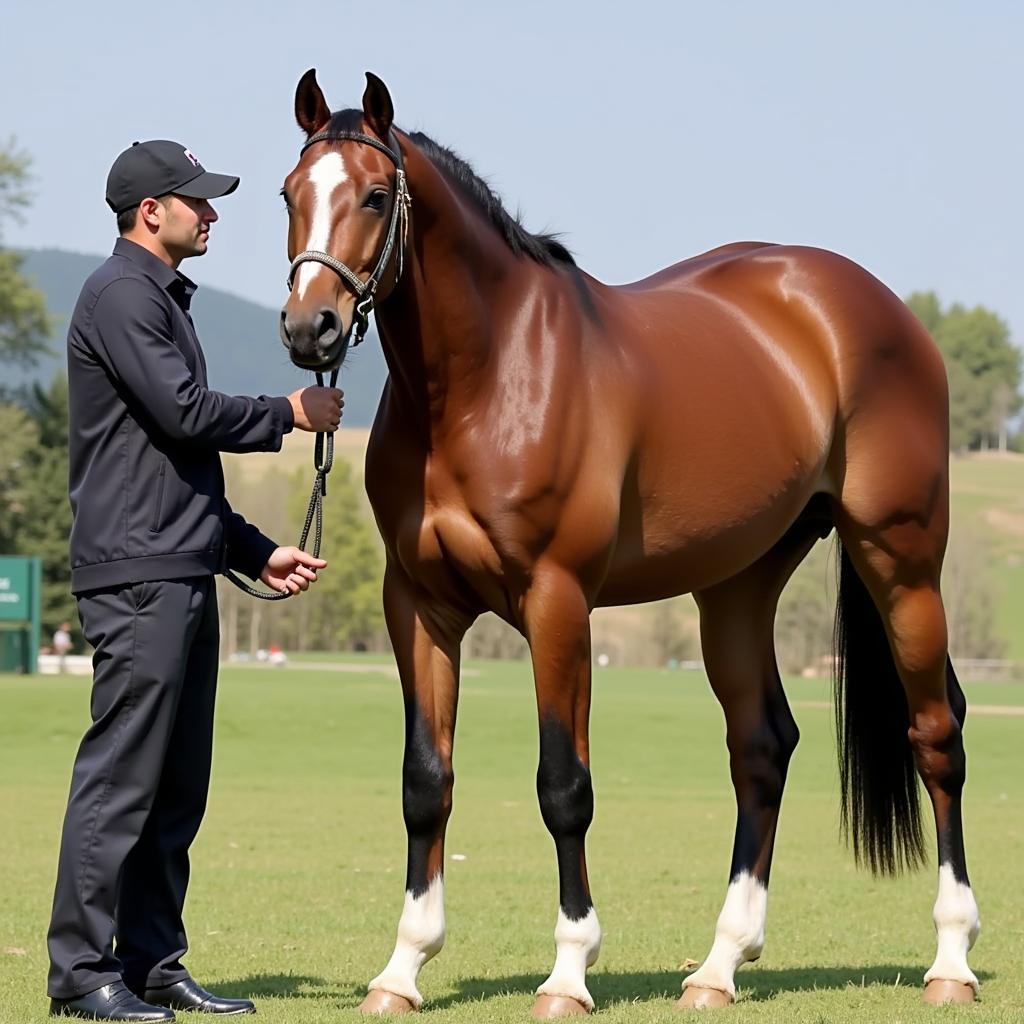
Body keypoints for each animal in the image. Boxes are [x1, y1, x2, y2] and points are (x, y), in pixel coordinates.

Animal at [278, 72, 974, 1015]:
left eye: (377, 196)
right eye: (289, 194)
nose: (306, 328)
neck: (487, 382)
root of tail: (875, 307)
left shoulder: (558, 599)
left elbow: (562, 787)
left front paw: (568, 973)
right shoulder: (418, 605)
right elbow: (426, 783)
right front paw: (402, 970)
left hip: (902, 562)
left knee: (937, 735)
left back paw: (952, 961)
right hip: (739, 585)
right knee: (762, 748)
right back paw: (718, 967)